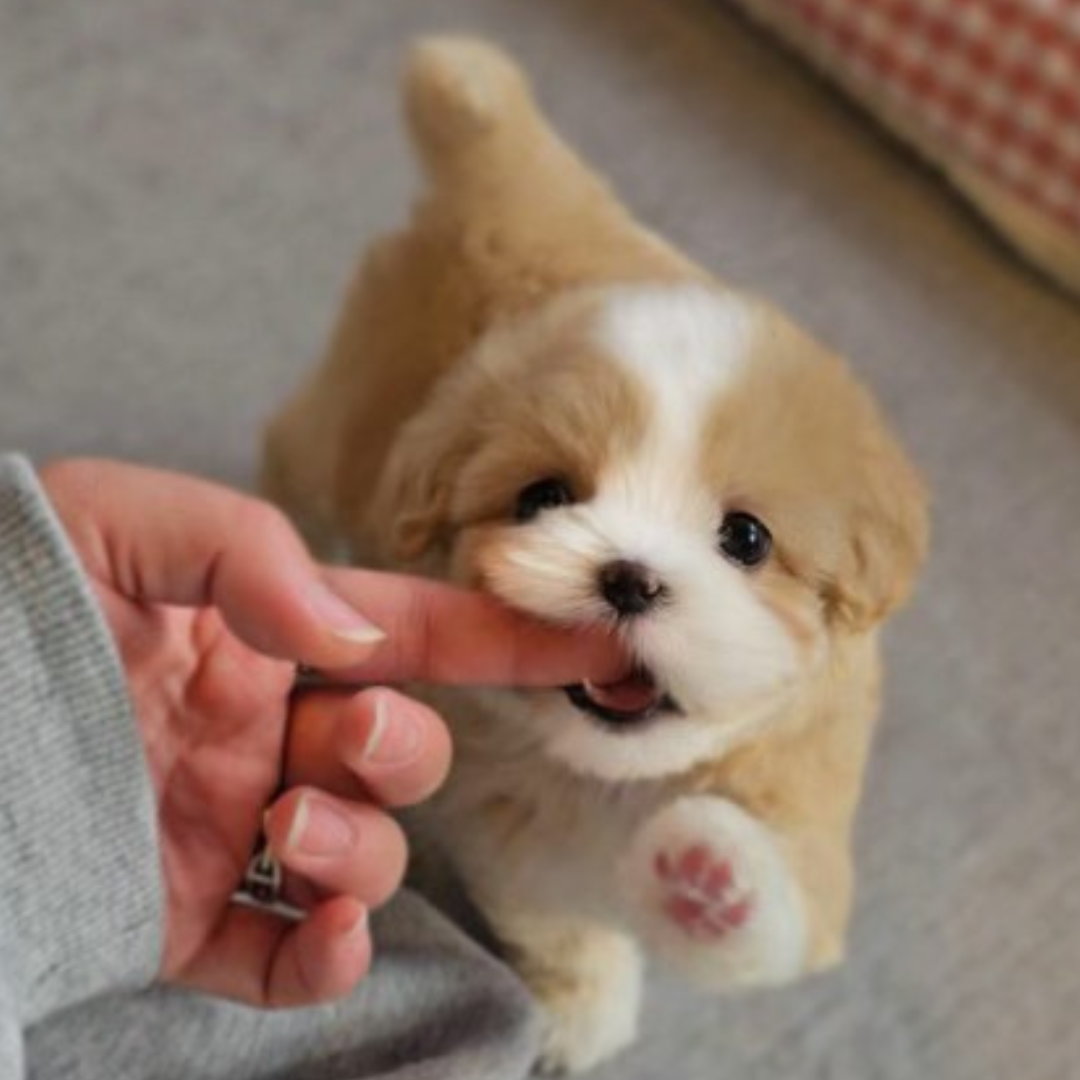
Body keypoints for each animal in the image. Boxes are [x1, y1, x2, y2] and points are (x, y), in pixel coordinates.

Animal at [263, 38, 928, 1075]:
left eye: (746, 538)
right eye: (544, 498)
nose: (629, 577)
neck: (615, 777)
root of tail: (520, 177)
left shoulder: (801, 793)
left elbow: (784, 913)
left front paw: (709, 880)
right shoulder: (513, 834)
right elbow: (565, 929)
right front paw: (586, 1006)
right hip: (354, 421)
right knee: (298, 450)